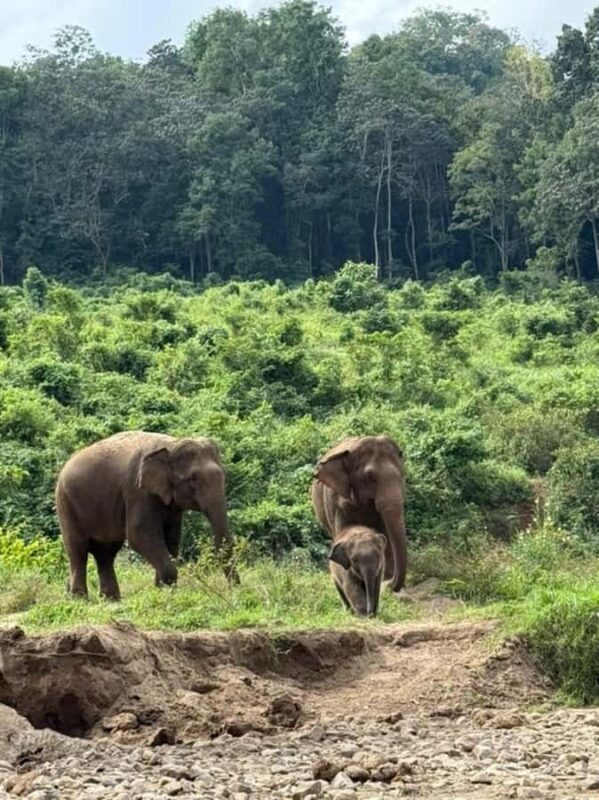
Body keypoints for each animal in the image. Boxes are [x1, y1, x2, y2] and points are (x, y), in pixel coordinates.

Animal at [55, 431, 235, 600]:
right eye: (193, 479)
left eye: (224, 476)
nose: (235, 589)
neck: (172, 444)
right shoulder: (138, 491)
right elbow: (139, 536)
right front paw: (164, 591)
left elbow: (171, 539)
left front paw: (161, 591)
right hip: (66, 504)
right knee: (78, 550)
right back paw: (80, 599)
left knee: (105, 552)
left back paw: (110, 599)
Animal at [311, 435, 407, 592]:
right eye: (369, 477)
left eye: (402, 475)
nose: (390, 585)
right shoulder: (335, 503)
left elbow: (385, 533)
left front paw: (384, 578)